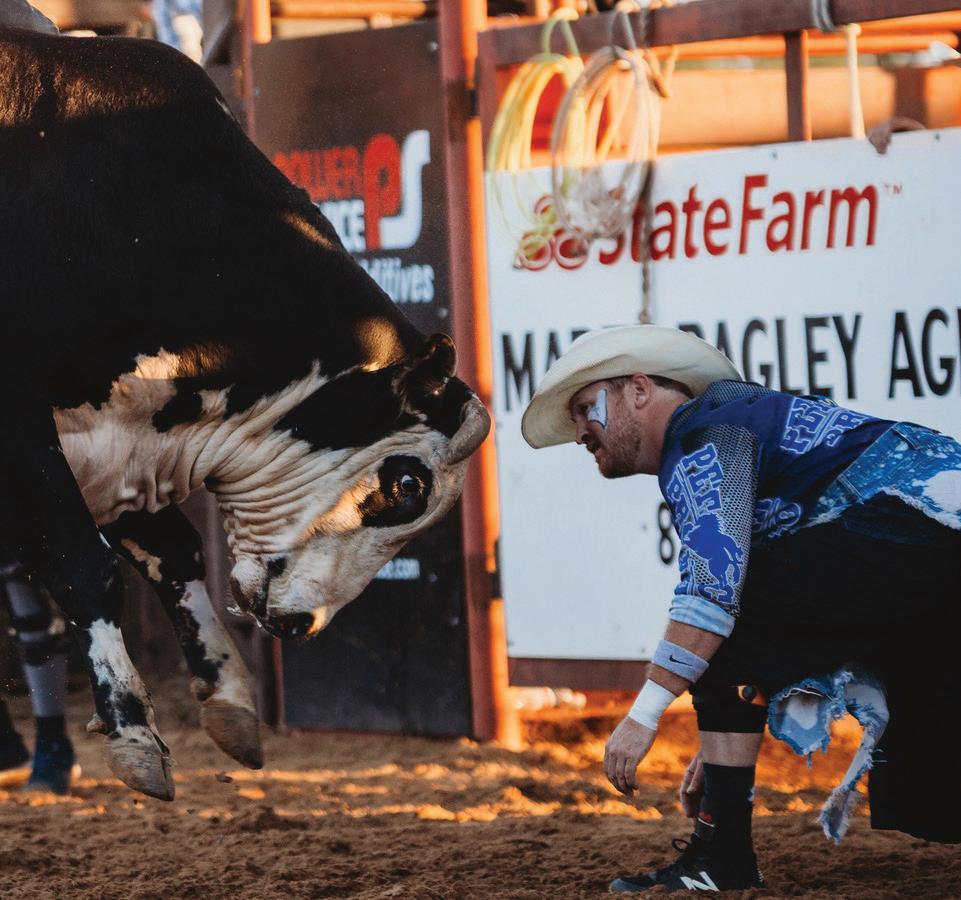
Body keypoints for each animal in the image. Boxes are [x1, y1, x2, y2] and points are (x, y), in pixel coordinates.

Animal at [0, 29, 490, 800]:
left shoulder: (116, 439)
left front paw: (228, 698)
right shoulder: (22, 428)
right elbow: (85, 567)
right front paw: (134, 735)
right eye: (410, 485)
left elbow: (173, 554)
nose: (300, 624)